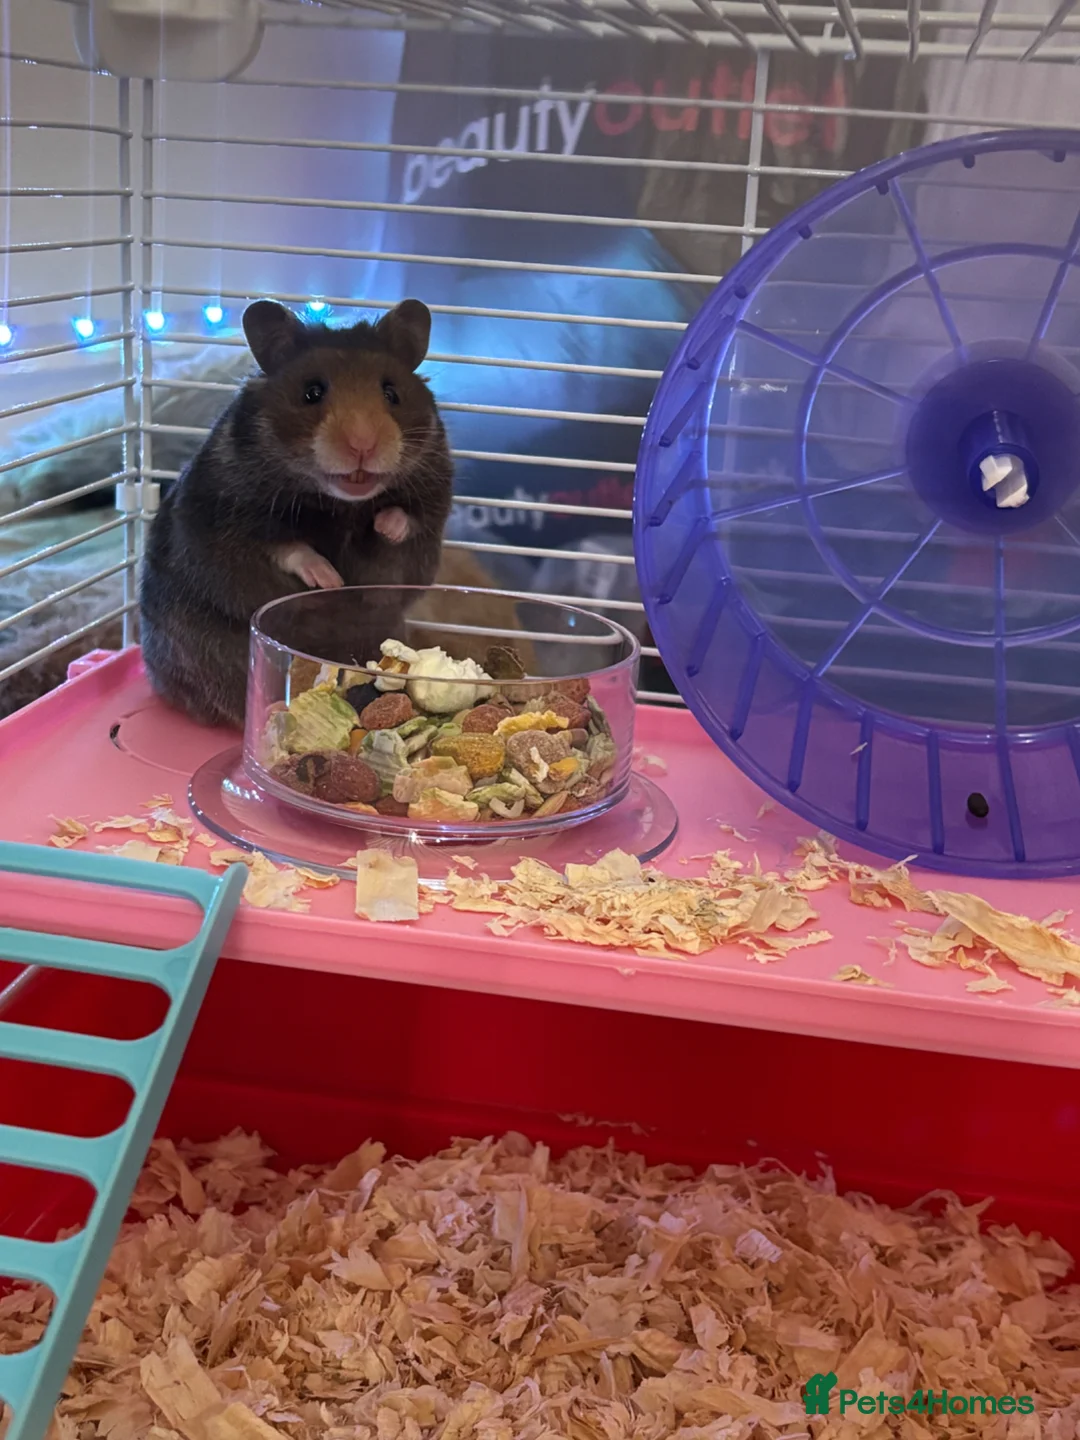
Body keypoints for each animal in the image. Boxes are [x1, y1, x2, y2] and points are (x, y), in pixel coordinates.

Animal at [139, 299, 453, 729]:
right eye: (312, 392)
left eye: (391, 393)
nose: (363, 445)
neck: (341, 503)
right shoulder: (229, 523)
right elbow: (287, 548)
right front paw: (331, 580)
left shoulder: (428, 514)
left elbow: (404, 524)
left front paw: (384, 525)